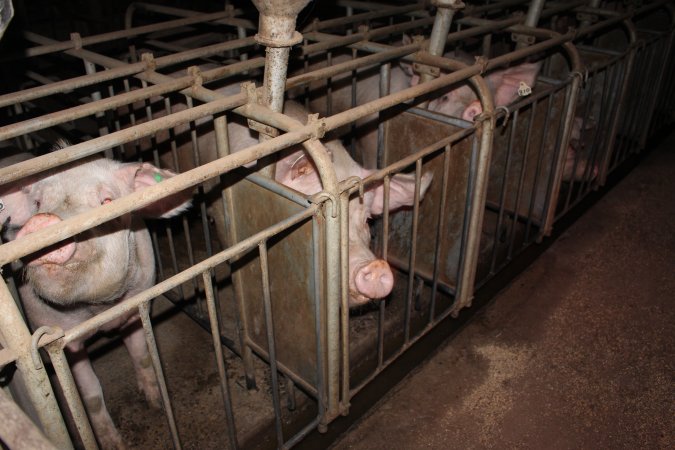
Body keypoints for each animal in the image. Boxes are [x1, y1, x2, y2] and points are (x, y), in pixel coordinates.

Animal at [7, 145, 193, 450]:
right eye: (37, 203)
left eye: (107, 201)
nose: (43, 222)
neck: (99, 311)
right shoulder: (63, 340)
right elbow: (91, 393)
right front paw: (113, 443)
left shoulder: (137, 303)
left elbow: (142, 355)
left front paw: (155, 403)